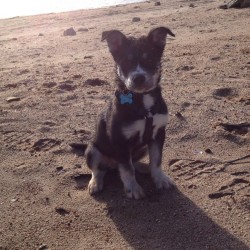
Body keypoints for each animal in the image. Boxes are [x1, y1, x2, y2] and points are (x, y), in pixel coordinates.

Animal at [72, 26, 174, 199]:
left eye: (150, 60)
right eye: (125, 62)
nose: (138, 78)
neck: (141, 98)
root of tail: (112, 165)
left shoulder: (158, 133)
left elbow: (156, 160)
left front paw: (159, 178)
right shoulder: (120, 140)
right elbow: (127, 169)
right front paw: (133, 189)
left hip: (142, 149)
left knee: (132, 162)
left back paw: (143, 168)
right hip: (92, 150)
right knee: (99, 170)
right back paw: (95, 183)